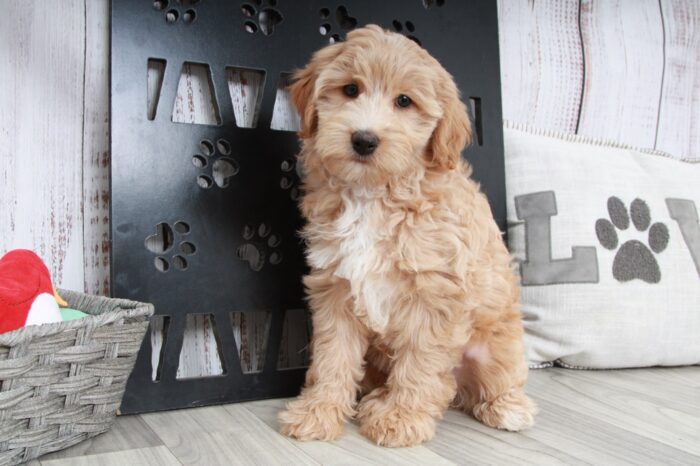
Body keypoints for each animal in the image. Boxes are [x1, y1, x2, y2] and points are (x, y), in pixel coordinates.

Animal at [278, 25, 536, 448]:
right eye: (351, 89)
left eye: (404, 101)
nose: (364, 139)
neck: (376, 193)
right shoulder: (335, 286)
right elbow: (334, 355)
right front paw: (318, 411)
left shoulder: (435, 293)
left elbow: (420, 360)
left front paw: (401, 418)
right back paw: (377, 398)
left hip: (497, 345)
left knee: (482, 380)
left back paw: (506, 408)